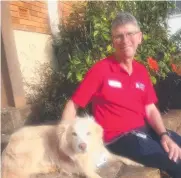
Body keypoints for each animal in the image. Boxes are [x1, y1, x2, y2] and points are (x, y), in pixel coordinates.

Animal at [1, 115, 143, 178]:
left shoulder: (104, 155)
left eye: (88, 133)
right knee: (26, 170)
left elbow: (124, 158)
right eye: (74, 134)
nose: (82, 146)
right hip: (36, 145)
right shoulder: (86, 170)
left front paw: (137, 163)